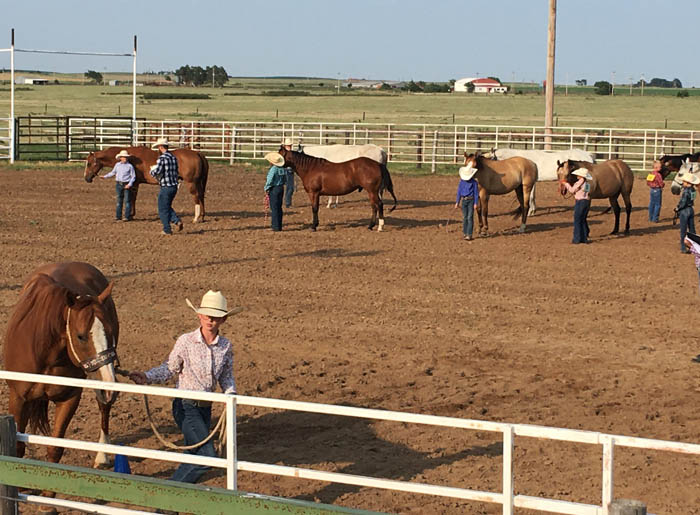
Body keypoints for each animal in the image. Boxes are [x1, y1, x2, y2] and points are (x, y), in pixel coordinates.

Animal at [3, 262, 121, 488]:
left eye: (110, 332)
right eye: (81, 336)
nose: (109, 387)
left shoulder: (69, 398)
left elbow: (55, 450)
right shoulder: (18, 398)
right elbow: (18, 451)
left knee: (103, 406)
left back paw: (102, 455)